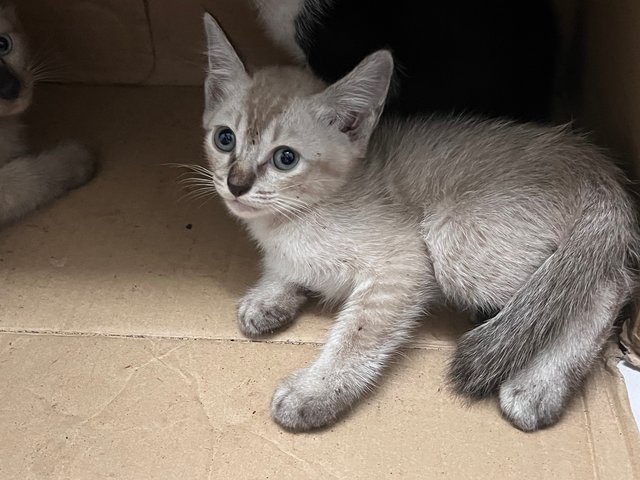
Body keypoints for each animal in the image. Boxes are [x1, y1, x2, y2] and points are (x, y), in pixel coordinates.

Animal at [201, 15, 640, 434]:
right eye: (225, 139)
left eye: (285, 158)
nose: (235, 185)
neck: (289, 222)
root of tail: (593, 164)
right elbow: (286, 272)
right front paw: (268, 298)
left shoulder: (402, 265)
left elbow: (358, 333)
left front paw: (316, 391)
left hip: (452, 240)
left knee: (607, 285)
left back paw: (539, 386)